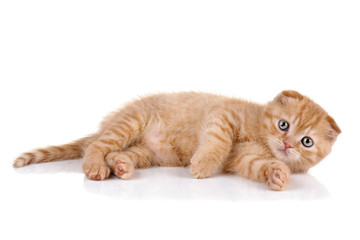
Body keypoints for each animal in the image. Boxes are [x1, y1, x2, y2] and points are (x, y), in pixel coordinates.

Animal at [13, 91, 340, 190]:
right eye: (283, 125)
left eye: (306, 142)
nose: (287, 144)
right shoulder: (223, 115)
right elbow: (218, 140)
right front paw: (203, 164)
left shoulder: (242, 158)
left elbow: (255, 164)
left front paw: (276, 175)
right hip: (131, 123)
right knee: (96, 147)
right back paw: (96, 166)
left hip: (147, 152)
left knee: (118, 153)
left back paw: (121, 166)